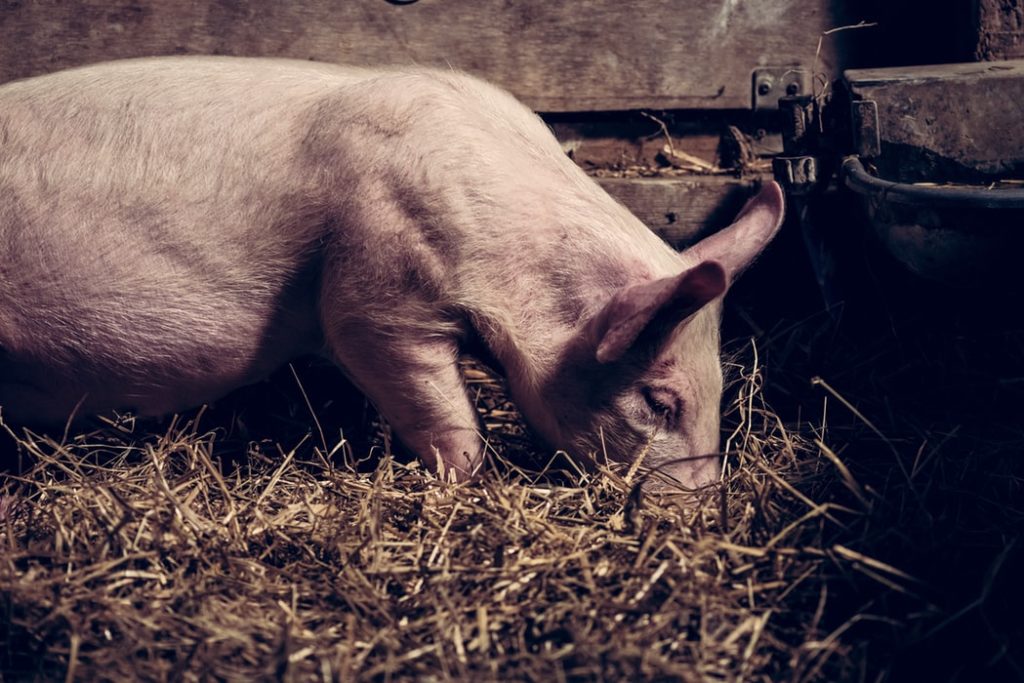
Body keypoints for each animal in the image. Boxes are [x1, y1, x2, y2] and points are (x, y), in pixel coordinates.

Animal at [0, 57, 782, 485]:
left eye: (723, 389)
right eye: (659, 401)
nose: (699, 517)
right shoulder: (377, 299)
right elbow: (437, 409)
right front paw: (471, 482)